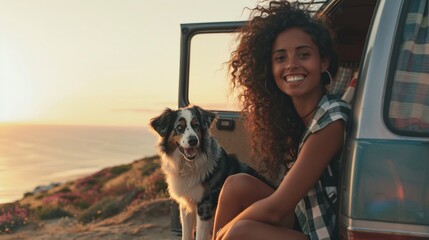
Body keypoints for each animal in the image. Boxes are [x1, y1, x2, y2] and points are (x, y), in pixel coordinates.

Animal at [150, 105, 270, 240]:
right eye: (179, 127)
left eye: (196, 125)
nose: (193, 140)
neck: (188, 165)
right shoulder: (186, 205)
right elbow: (186, 234)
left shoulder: (205, 206)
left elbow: (200, 235)